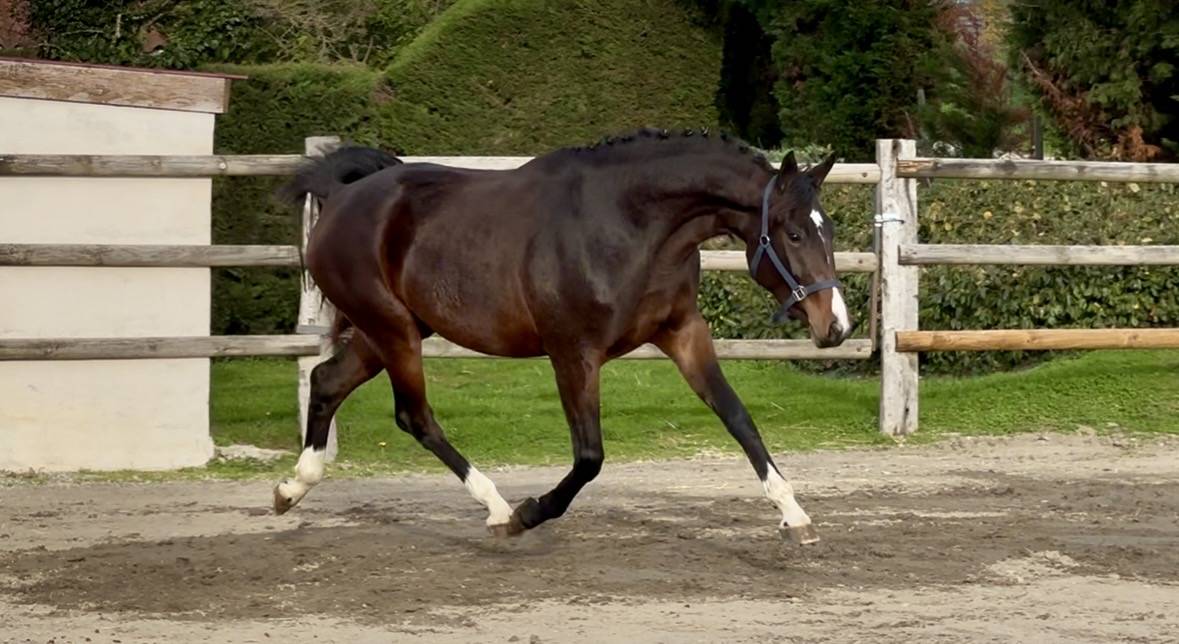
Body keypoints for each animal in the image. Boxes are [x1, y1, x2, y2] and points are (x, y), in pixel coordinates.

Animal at [274, 128, 852, 545]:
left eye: (828, 230)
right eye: (794, 233)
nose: (836, 327)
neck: (629, 224)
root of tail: (341, 195)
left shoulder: (683, 333)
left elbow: (738, 418)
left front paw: (794, 515)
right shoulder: (574, 353)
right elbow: (589, 456)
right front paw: (531, 512)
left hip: (389, 330)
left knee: (326, 381)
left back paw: (290, 490)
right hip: (392, 329)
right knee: (413, 415)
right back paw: (498, 510)